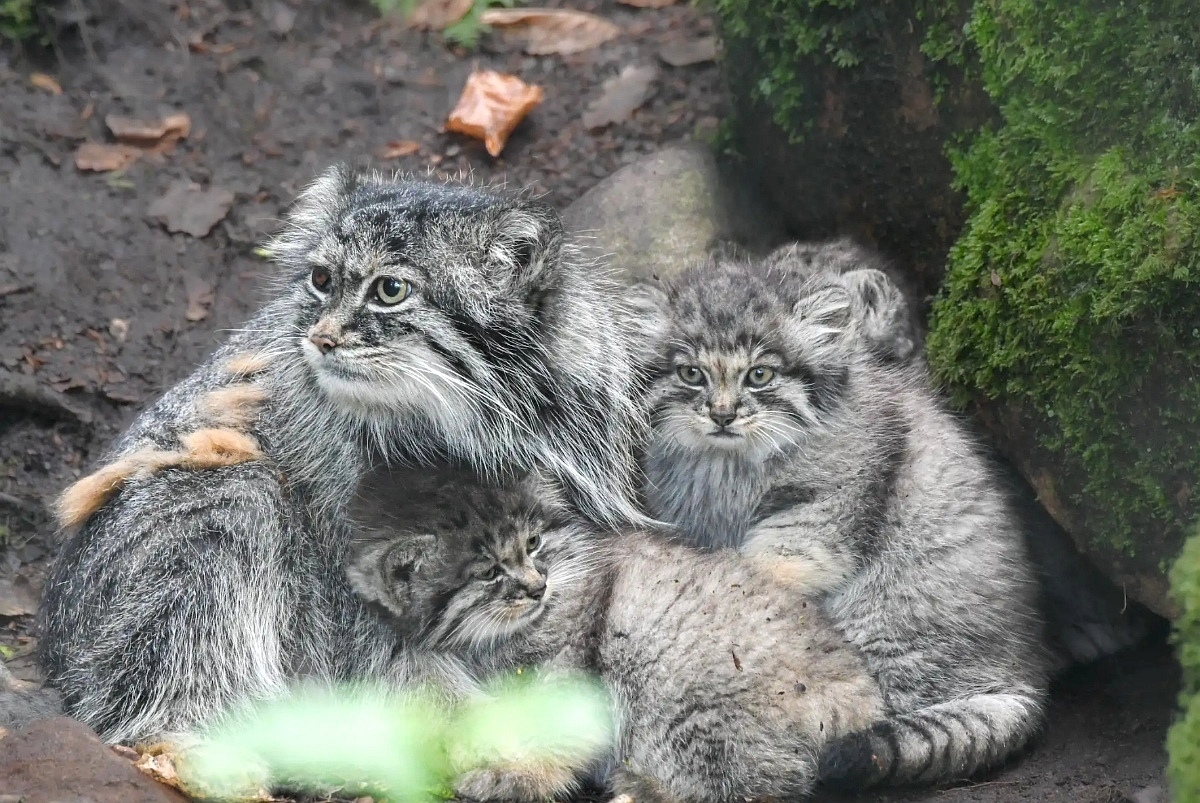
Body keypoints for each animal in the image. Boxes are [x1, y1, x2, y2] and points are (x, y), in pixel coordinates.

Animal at [39, 169, 648, 744]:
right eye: (321, 279)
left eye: (390, 289)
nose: (320, 338)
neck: (450, 425)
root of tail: (56, 656)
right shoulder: (355, 568)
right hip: (227, 497)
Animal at [345, 463, 883, 801]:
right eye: (490, 572)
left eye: (533, 543)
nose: (538, 587)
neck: (488, 642)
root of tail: (856, 686)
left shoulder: (573, 665)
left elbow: (557, 732)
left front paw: (525, 777)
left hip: (675, 677)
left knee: (761, 784)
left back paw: (647, 789)